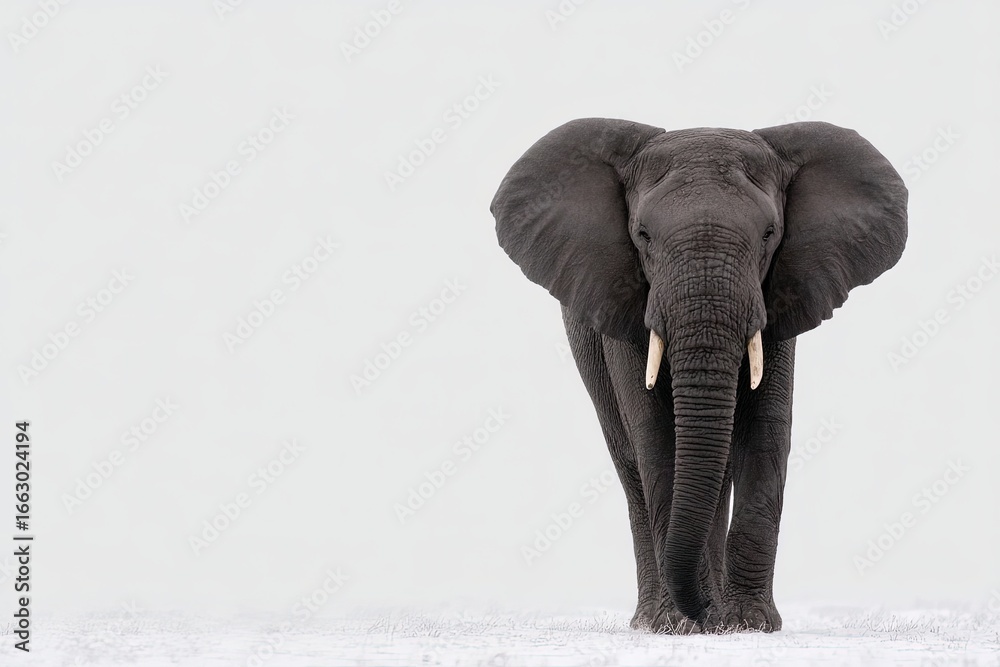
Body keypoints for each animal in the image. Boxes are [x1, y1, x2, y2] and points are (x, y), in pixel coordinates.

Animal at [490, 119, 907, 633]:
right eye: (643, 235)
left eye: (770, 233)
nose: (706, 613)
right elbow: (656, 437)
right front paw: (688, 625)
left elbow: (767, 430)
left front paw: (748, 624)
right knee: (631, 466)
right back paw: (654, 621)